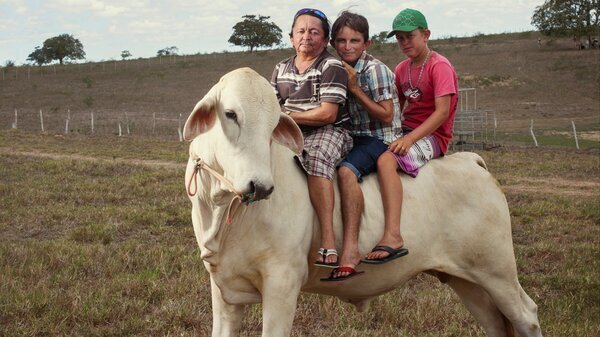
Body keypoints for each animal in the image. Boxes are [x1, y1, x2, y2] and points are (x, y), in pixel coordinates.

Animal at [183, 67, 544, 336]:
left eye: (274, 124)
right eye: (230, 114)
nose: (260, 186)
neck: (223, 213)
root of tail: (470, 160)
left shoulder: (282, 283)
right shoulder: (224, 290)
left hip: (496, 270)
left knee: (527, 315)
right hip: (465, 279)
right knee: (497, 324)